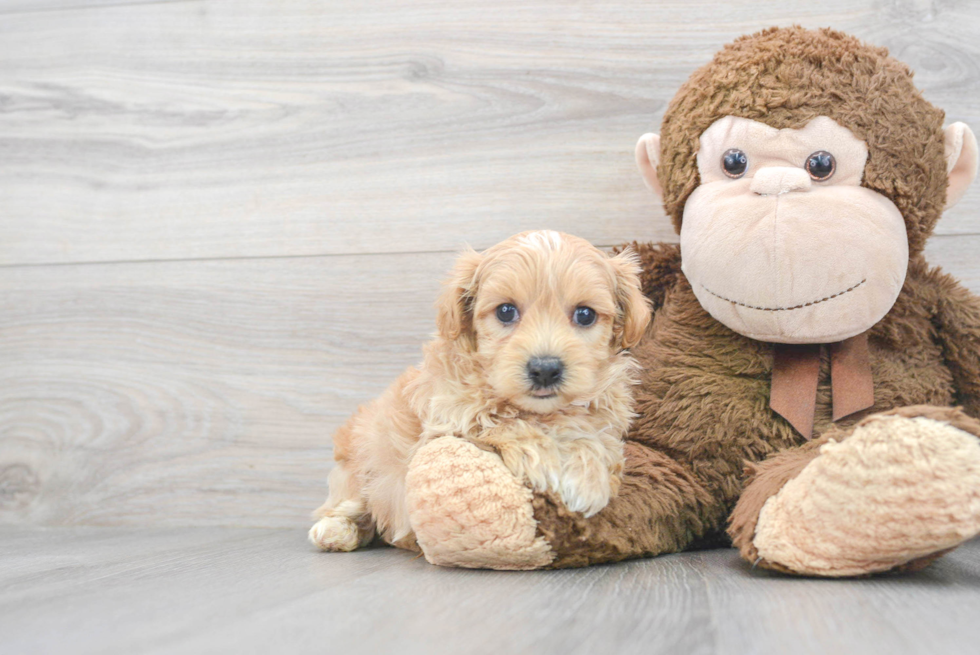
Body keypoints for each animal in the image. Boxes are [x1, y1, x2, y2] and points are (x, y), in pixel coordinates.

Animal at [310, 231, 656, 552]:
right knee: (352, 502)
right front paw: (553, 462)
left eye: (585, 314)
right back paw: (337, 529)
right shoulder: (445, 420)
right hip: (362, 457)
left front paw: (588, 474)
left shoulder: (607, 424)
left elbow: (594, 440)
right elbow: (505, 421)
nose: (545, 369)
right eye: (505, 311)